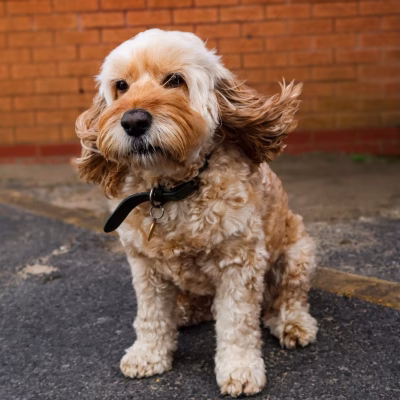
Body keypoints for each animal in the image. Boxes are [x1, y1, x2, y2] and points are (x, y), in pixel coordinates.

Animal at [75, 29, 318, 397]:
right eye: (121, 86)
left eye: (175, 80)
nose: (133, 121)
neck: (172, 189)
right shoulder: (144, 266)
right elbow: (151, 315)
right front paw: (148, 354)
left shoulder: (239, 263)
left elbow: (237, 323)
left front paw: (239, 369)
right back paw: (186, 311)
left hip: (297, 253)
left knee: (288, 296)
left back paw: (291, 322)